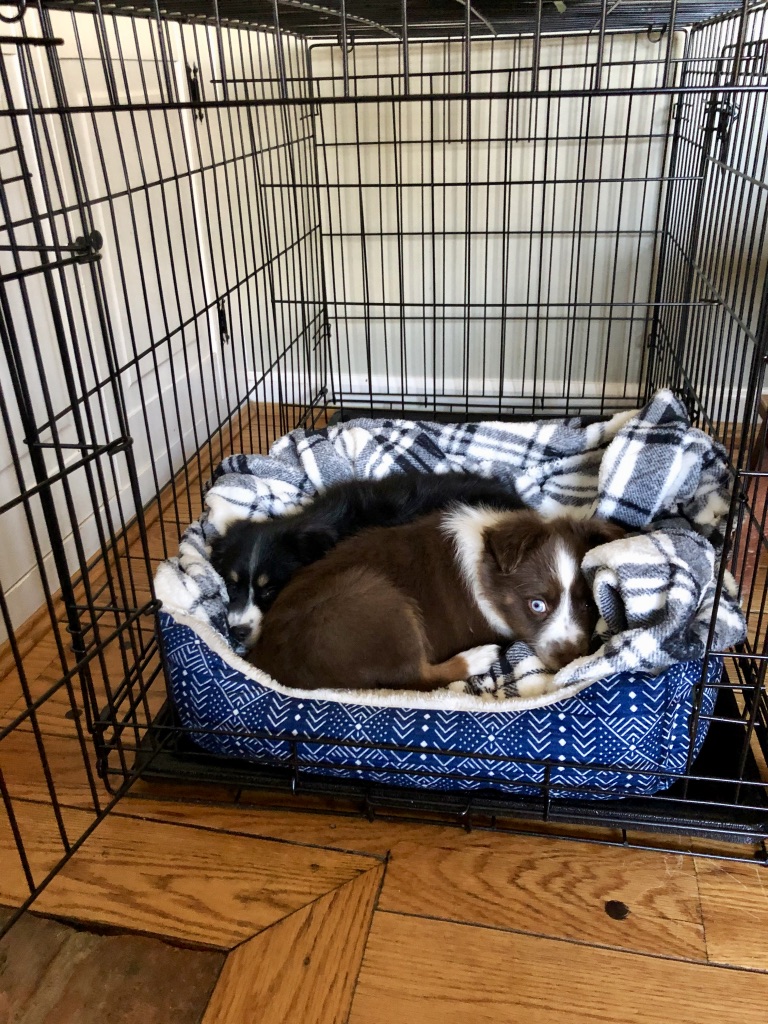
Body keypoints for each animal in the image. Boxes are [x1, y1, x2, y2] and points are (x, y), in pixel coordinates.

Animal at [248, 506, 624, 692]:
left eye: (588, 605)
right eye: (537, 605)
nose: (571, 657)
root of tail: (267, 662)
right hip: (378, 602)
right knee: (415, 676)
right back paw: (477, 658)